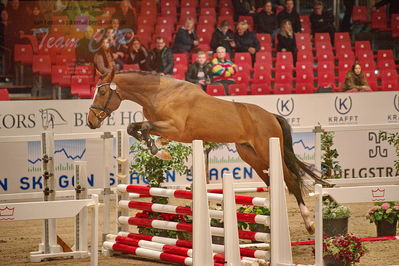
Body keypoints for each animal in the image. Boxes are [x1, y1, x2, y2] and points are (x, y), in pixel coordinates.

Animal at [88, 68, 328, 233]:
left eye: (102, 91)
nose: (91, 121)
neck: (160, 93)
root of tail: (271, 116)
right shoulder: (162, 126)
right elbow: (134, 127)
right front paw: (159, 148)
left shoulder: (175, 128)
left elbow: (144, 127)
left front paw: (159, 150)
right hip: (252, 157)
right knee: (274, 182)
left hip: (267, 151)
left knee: (291, 180)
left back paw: (309, 224)